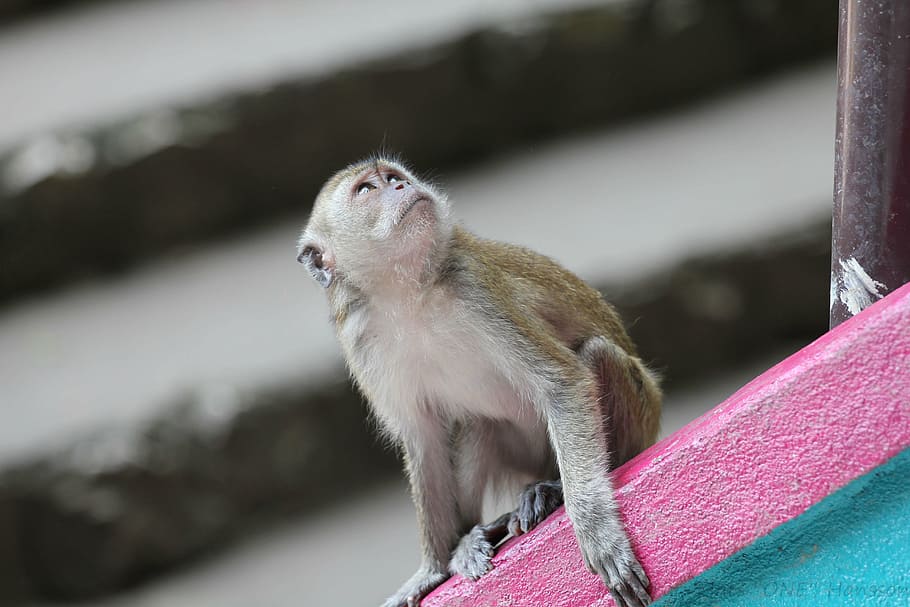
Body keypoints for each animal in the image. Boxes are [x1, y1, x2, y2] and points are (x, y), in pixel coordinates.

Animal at [296, 155, 661, 607]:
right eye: (367, 189)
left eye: (394, 178)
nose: (402, 187)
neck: (406, 293)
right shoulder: (361, 341)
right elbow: (424, 440)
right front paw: (431, 569)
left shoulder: (476, 291)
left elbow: (563, 383)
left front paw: (595, 528)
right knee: (476, 424)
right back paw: (473, 536)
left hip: (641, 415)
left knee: (595, 355)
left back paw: (552, 489)